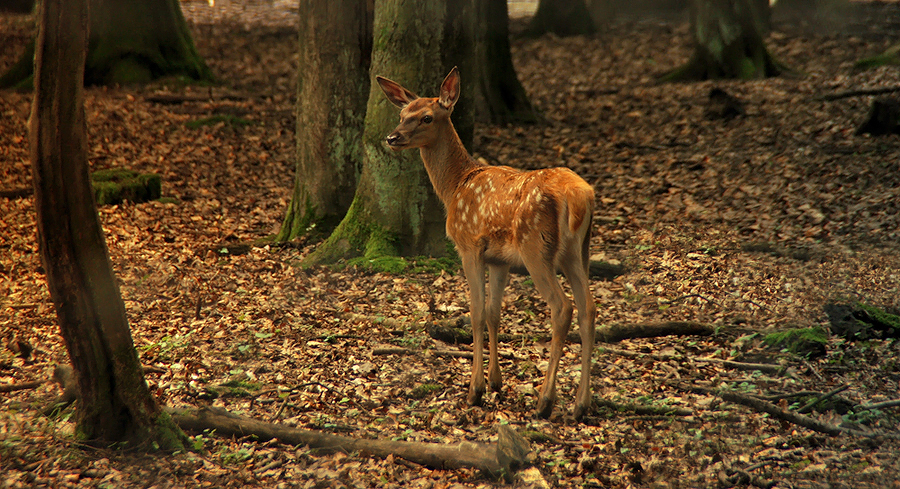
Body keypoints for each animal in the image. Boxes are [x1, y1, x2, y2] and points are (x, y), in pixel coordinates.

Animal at [378, 67, 596, 420]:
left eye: (426, 117)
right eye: (402, 114)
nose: (392, 138)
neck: (455, 186)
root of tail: (580, 196)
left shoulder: (468, 245)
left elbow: (477, 312)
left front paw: (475, 390)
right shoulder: (499, 259)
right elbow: (495, 313)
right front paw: (496, 382)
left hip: (536, 247)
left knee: (562, 307)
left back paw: (545, 401)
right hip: (577, 251)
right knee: (589, 307)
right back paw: (580, 404)